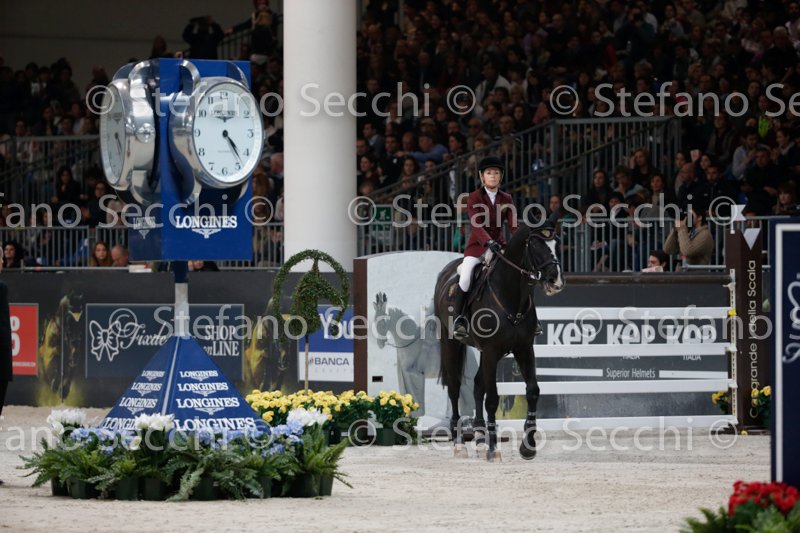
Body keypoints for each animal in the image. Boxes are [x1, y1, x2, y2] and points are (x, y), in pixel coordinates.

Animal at [433, 216, 564, 461]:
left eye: (556, 243)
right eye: (535, 245)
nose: (555, 281)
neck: (512, 296)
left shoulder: (524, 349)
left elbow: (533, 391)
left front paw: (528, 446)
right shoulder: (492, 351)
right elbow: (492, 398)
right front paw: (494, 448)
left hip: (484, 353)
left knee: (477, 386)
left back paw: (479, 439)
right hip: (450, 343)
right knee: (455, 387)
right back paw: (459, 444)